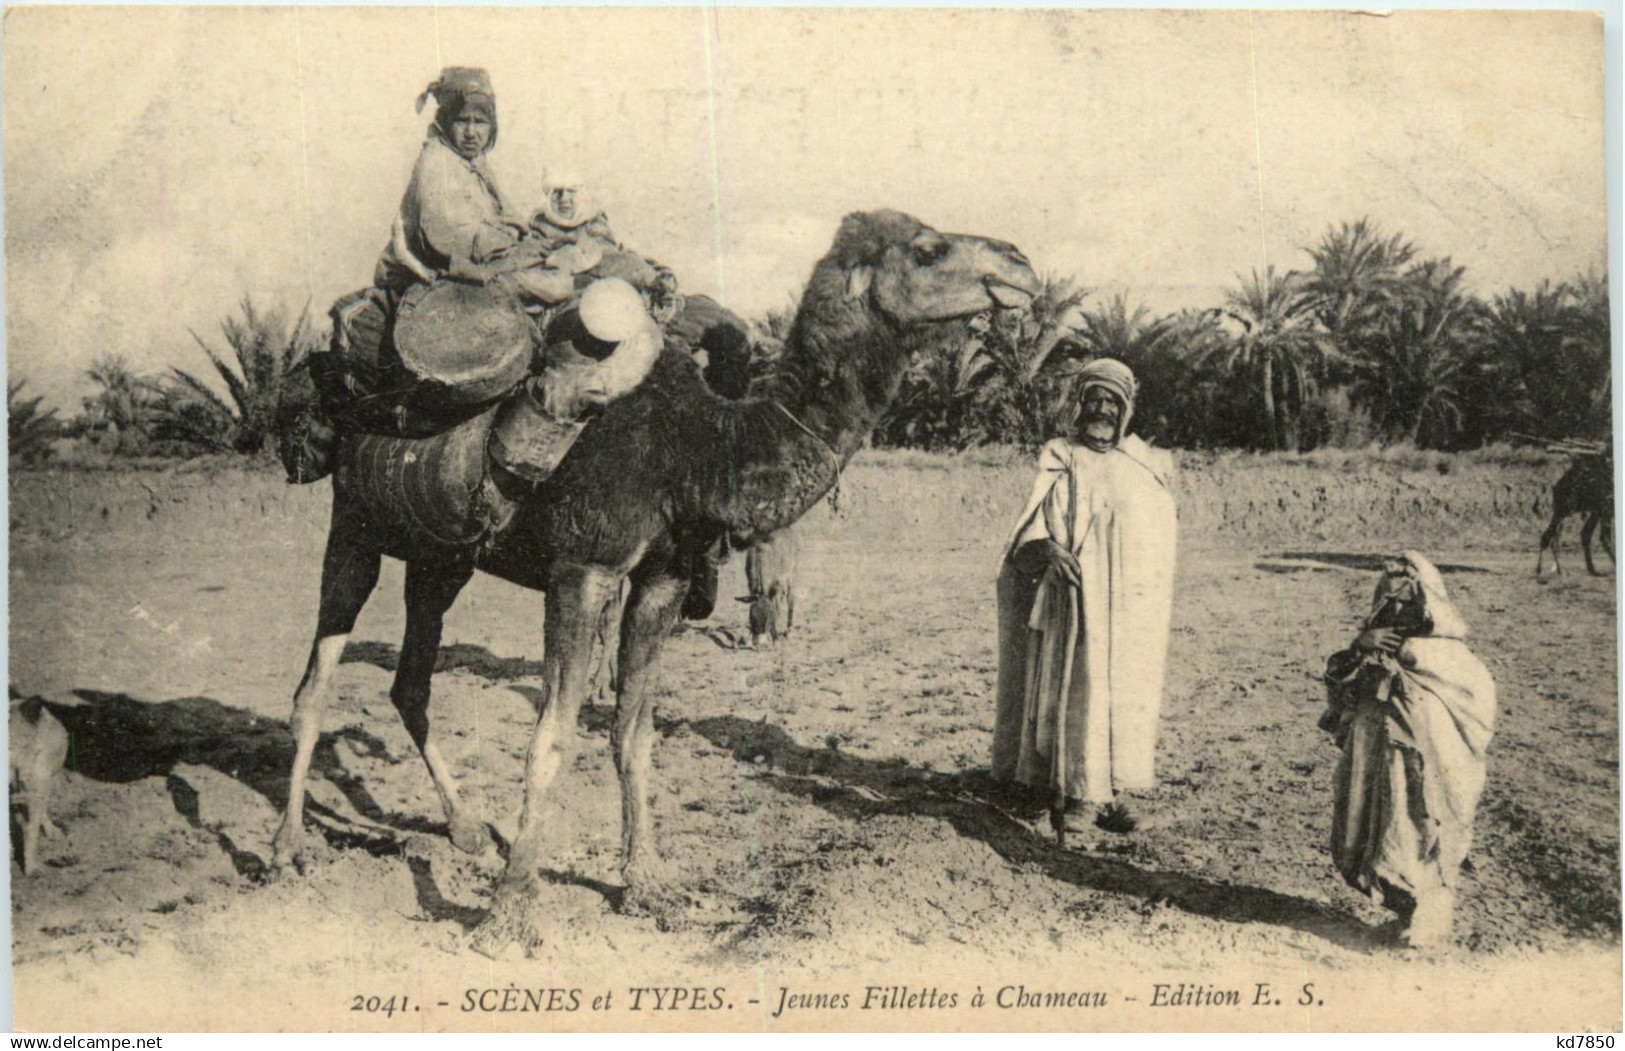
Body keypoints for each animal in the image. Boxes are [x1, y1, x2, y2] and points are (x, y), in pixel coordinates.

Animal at [271, 211, 1033, 955]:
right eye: (928, 249)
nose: (1019, 263)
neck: (698, 447)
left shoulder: (661, 581)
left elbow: (633, 733)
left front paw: (647, 884)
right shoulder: (584, 570)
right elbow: (550, 738)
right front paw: (508, 916)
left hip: (441, 557)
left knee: (411, 684)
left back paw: (466, 829)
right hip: (355, 526)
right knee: (314, 683)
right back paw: (287, 849)